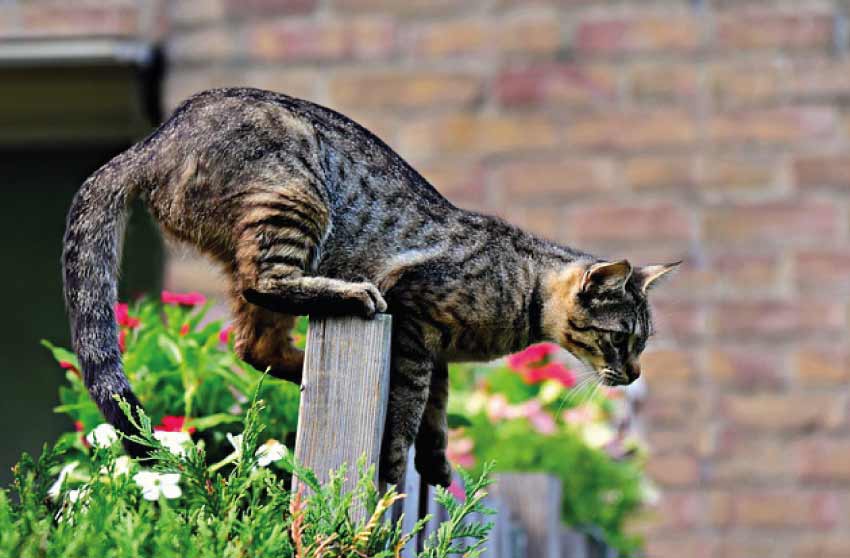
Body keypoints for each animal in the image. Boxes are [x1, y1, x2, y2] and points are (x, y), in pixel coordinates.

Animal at [61, 86, 676, 486]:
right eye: (620, 339)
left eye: (641, 344)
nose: (634, 373)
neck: (522, 288)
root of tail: (151, 141)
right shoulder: (415, 322)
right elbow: (407, 410)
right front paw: (397, 465)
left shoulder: (436, 353)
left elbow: (436, 412)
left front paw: (437, 462)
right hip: (294, 199)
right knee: (267, 286)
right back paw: (351, 297)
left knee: (253, 345)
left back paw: (305, 369)